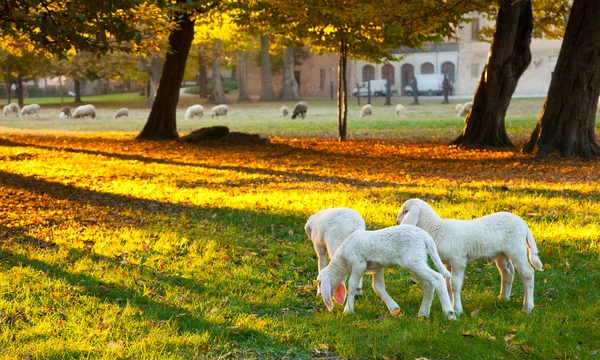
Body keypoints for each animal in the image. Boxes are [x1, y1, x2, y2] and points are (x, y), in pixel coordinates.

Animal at [318, 225, 454, 320]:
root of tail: (426, 237)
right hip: (418, 260)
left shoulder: (358, 264)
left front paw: (348, 310)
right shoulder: (377, 268)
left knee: (437, 278)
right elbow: (378, 287)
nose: (319, 295)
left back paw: (450, 313)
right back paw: (423, 313)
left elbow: (352, 286)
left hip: (413, 261)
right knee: (428, 284)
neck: (342, 262)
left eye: (319, 282)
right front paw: (394, 309)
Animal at [398, 197, 544, 316]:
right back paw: (503, 299)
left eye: (405, 211)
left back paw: (528, 307)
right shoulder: (448, 263)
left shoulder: (458, 261)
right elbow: (448, 284)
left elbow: (455, 285)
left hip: (517, 249)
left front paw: (457, 310)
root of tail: (524, 224)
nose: (397, 222)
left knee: (528, 273)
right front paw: (450, 305)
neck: (438, 229)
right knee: (507, 271)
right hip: (501, 253)